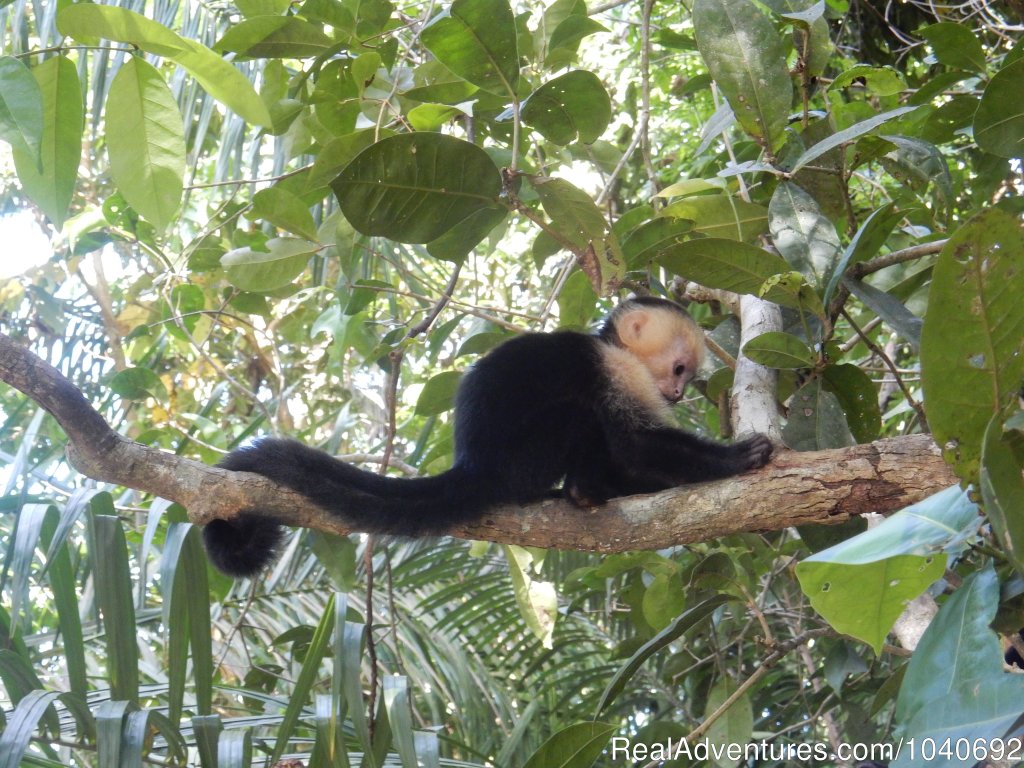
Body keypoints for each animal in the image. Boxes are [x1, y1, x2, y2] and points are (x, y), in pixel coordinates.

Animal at [203, 299, 770, 577]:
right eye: (678, 368)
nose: (677, 393)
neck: (613, 347)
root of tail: (473, 466)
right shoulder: (616, 369)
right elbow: (636, 444)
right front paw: (735, 459)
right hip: (526, 456)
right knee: (580, 418)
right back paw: (584, 491)